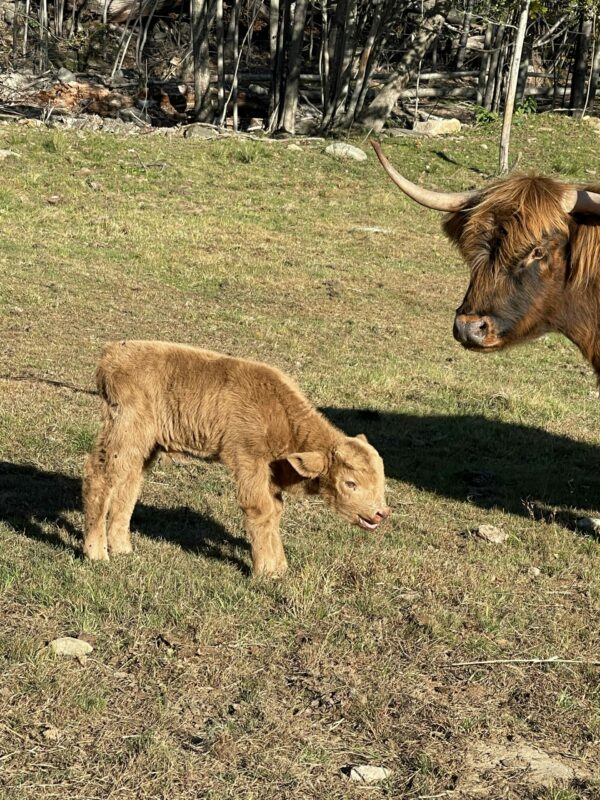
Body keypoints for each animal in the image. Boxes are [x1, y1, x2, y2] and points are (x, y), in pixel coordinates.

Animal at [83, 340, 389, 576]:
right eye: (350, 483)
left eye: (381, 480)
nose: (381, 513)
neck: (280, 414)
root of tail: (111, 354)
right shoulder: (248, 459)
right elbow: (259, 509)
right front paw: (266, 571)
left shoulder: (271, 473)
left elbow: (275, 511)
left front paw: (279, 566)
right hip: (125, 433)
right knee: (100, 476)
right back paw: (96, 553)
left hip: (145, 445)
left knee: (129, 484)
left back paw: (122, 548)